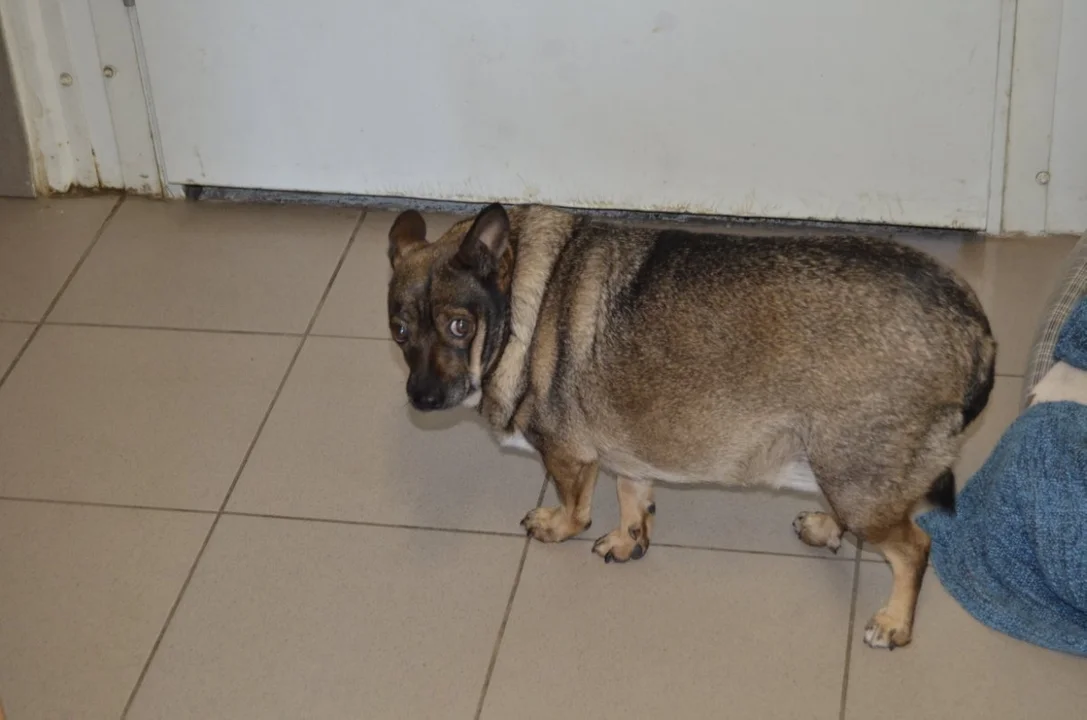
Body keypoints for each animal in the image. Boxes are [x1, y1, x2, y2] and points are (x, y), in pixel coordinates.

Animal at [386, 202, 996, 650]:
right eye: (399, 331)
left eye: (459, 327)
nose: (421, 397)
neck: (519, 312)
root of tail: (973, 327)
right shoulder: (627, 449)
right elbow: (632, 497)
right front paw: (629, 538)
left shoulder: (567, 458)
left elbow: (577, 509)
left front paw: (559, 526)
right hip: (846, 471)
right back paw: (825, 528)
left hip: (855, 474)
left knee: (913, 548)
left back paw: (895, 622)